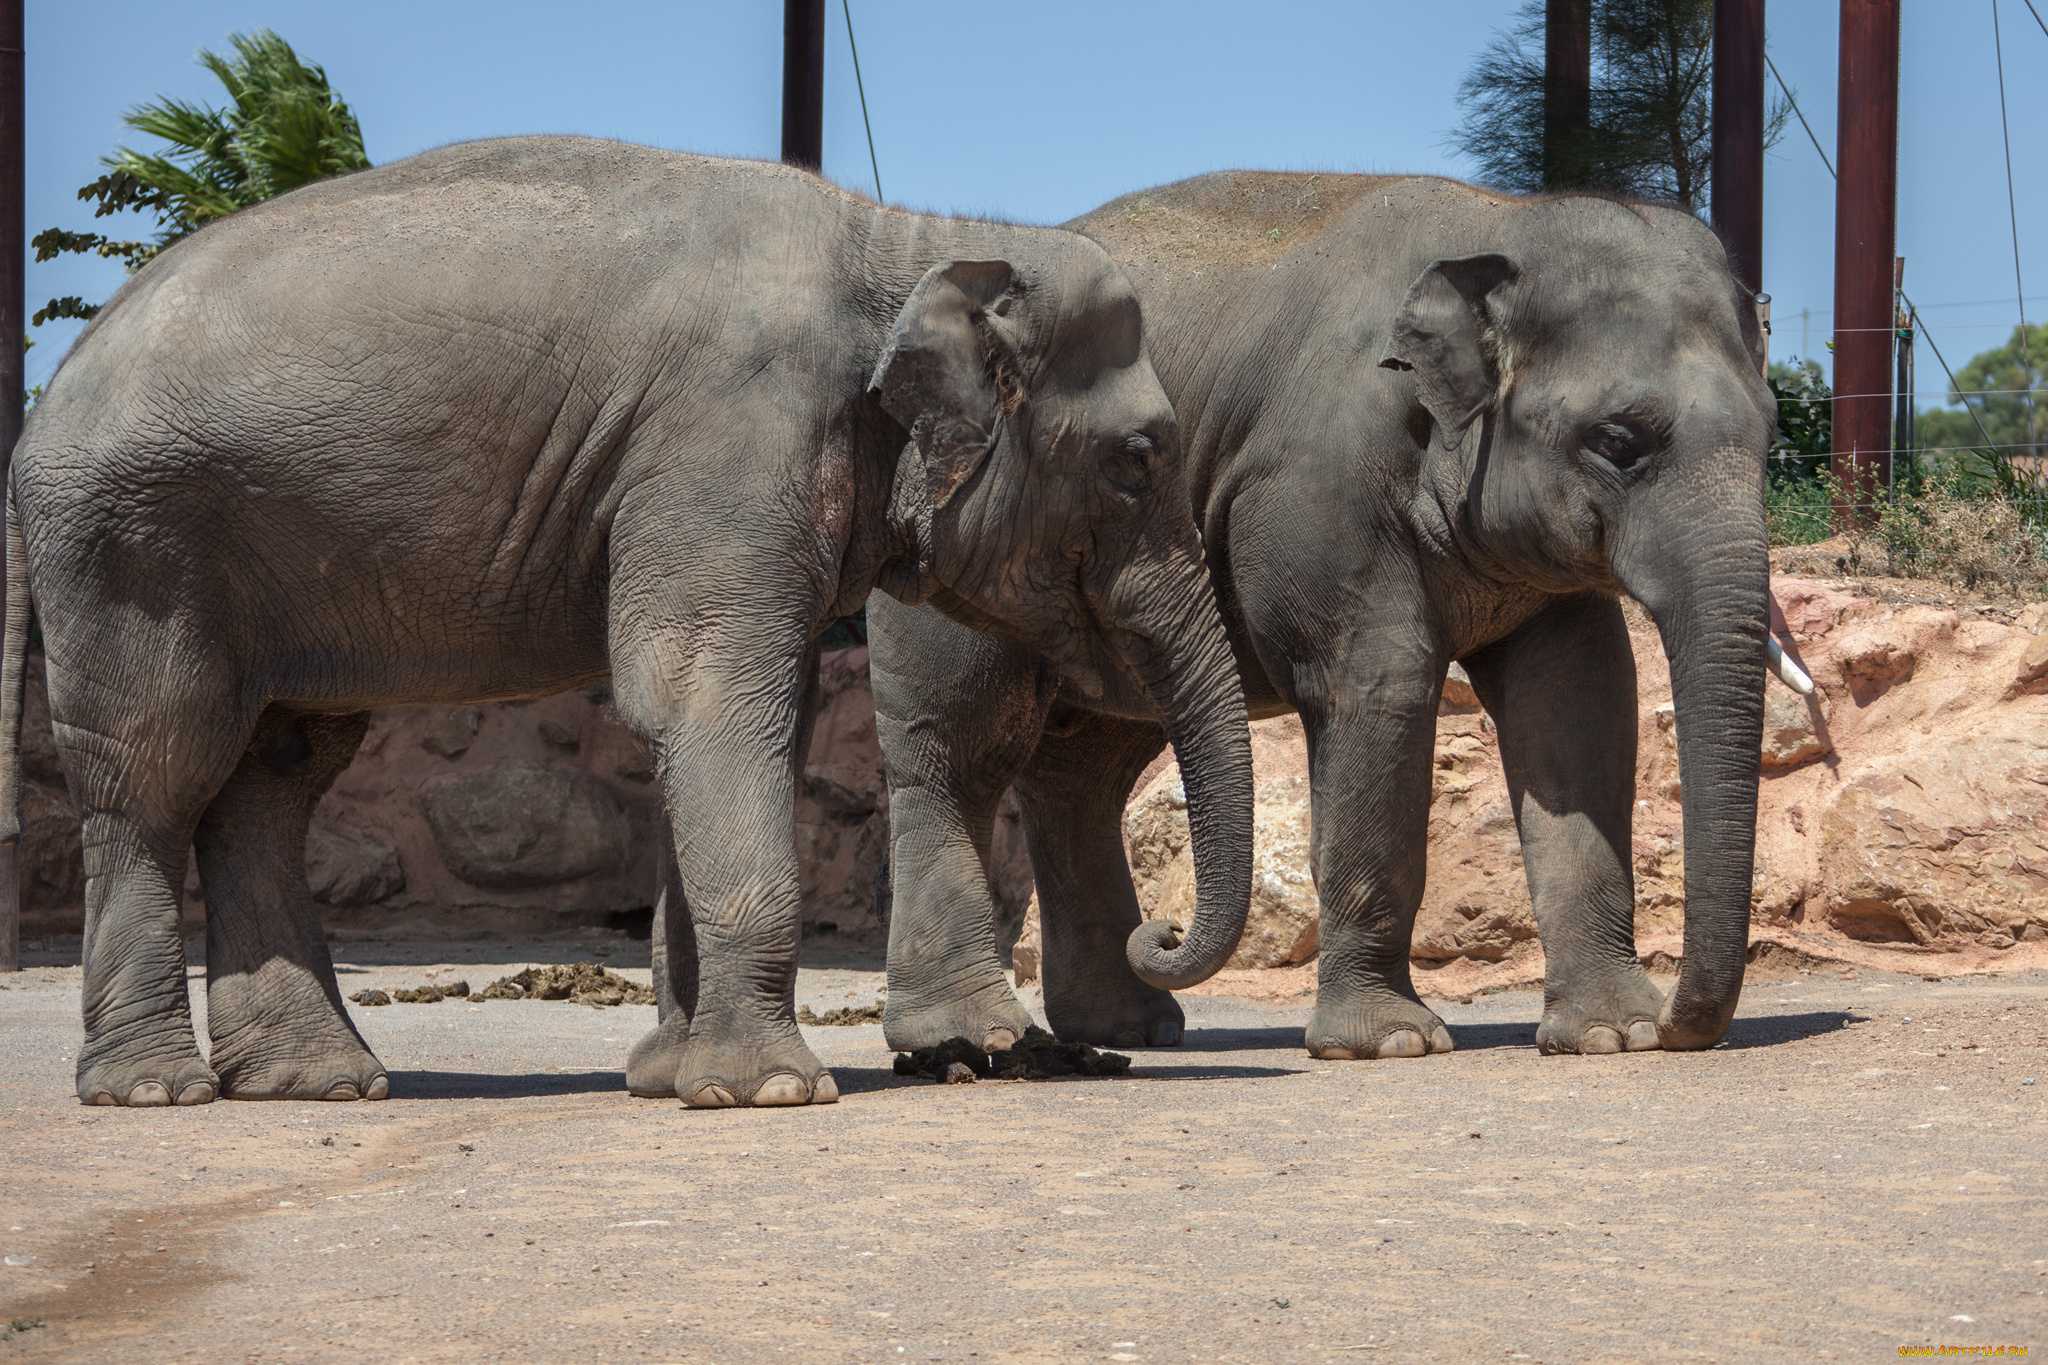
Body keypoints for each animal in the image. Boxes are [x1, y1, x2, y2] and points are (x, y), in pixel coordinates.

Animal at [0, 139, 1253, 1113]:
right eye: (1138, 460)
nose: (1160, 938)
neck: (909, 242)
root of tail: (43, 403)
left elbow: (731, 713)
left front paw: (674, 1078)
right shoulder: (731, 438)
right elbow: (710, 700)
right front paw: (771, 1091)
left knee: (271, 776)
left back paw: (315, 1083)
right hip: (132, 549)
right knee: (155, 775)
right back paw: (155, 1090)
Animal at [872, 170, 1785, 1064]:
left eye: (1773, 434)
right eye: (1619, 441)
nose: (1677, 1024)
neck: (1502, 223)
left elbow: (1580, 698)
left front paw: (1610, 1035)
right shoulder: (1318, 488)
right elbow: (1376, 684)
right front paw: (1389, 1043)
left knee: (1084, 767)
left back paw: (1127, 1028)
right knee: (961, 748)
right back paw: (984, 1032)